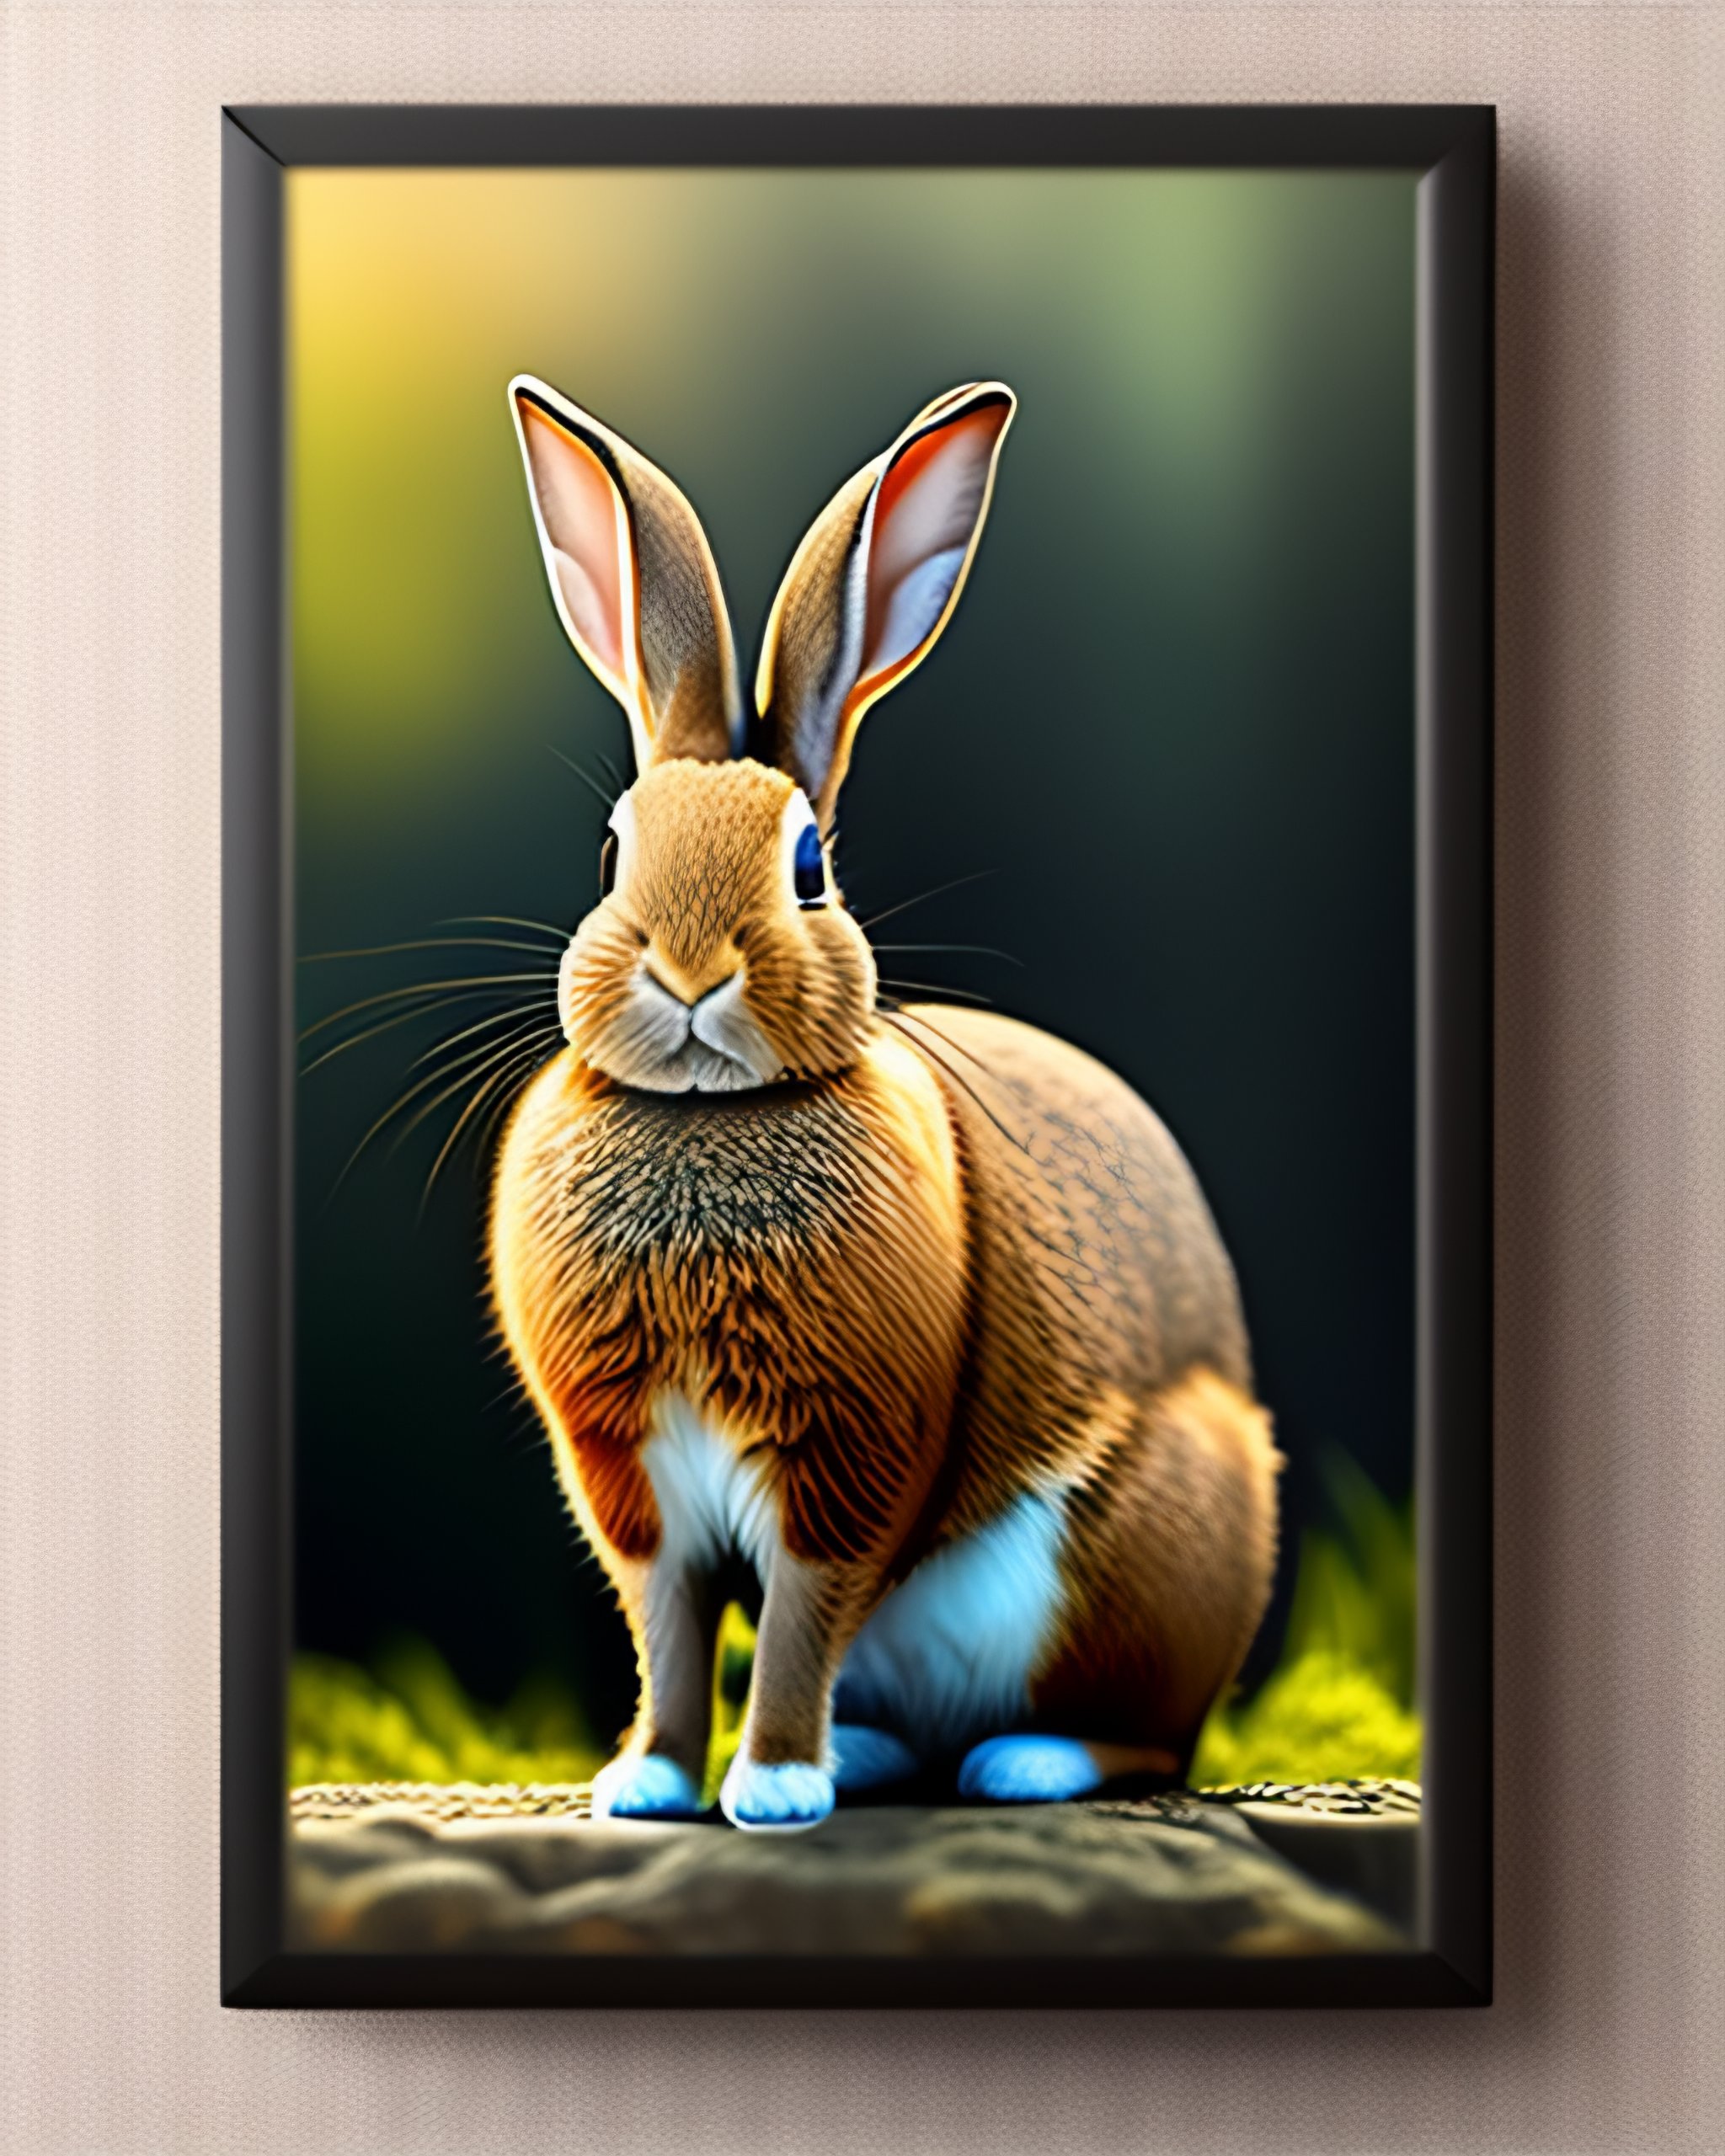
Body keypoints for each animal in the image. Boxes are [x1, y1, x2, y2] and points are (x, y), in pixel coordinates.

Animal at [490, 372, 1281, 1831]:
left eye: (810, 866)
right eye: (615, 853)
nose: (691, 973)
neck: (709, 1119)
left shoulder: (846, 1463)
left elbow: (803, 1613)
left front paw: (773, 1790)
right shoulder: (635, 1483)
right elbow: (670, 1627)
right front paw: (649, 1784)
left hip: (1144, 1556)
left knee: (1145, 1741)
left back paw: (1023, 1765)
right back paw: (870, 1757)